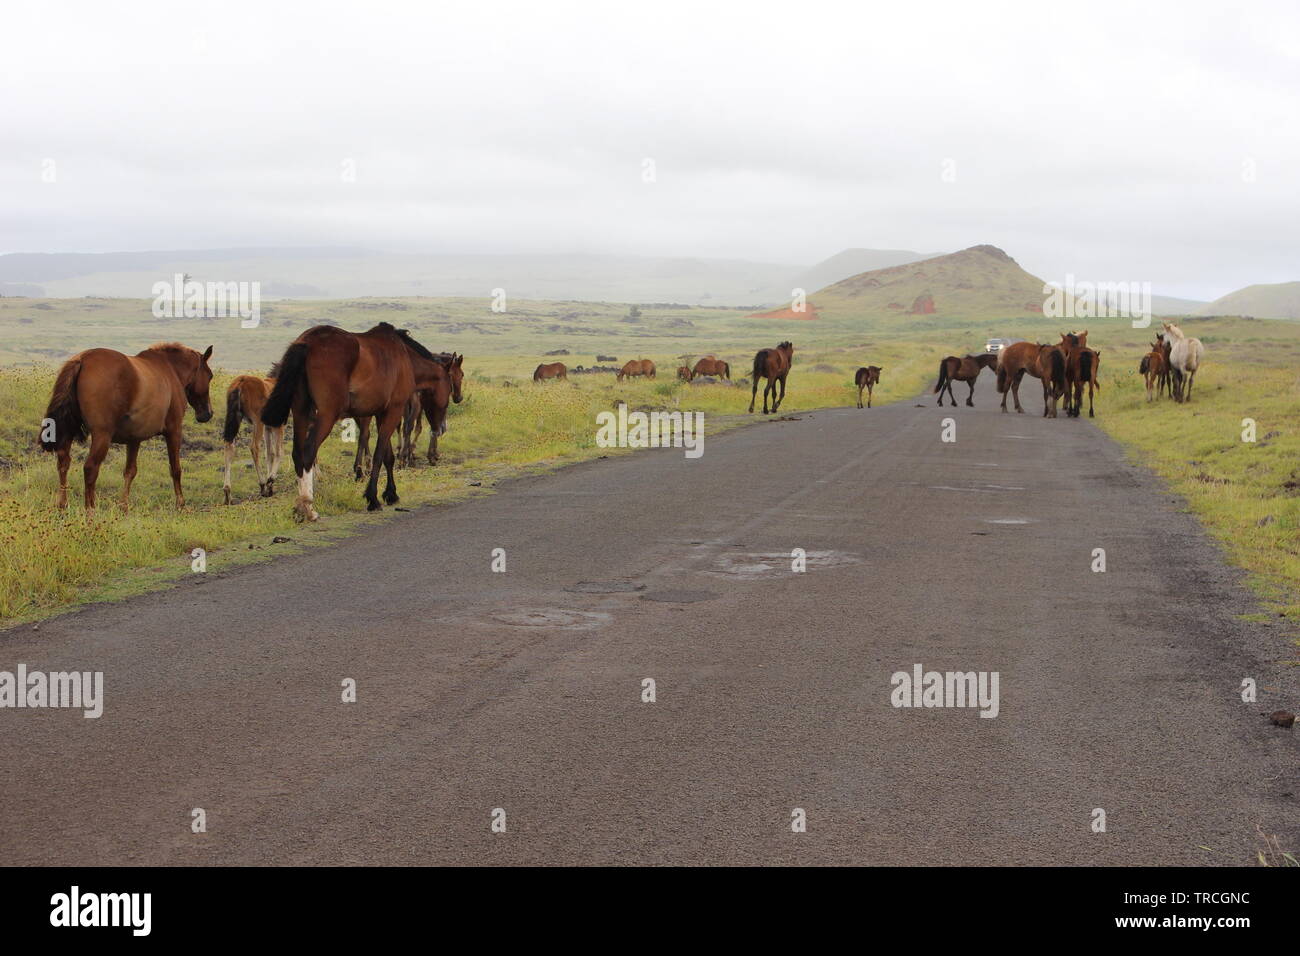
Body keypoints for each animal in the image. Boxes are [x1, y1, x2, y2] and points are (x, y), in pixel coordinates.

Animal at [220, 374, 284, 504]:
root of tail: (240, 382)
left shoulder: (268, 427)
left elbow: (270, 453)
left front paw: (271, 488)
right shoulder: (277, 424)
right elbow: (278, 452)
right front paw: (270, 481)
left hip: (235, 417)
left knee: (228, 445)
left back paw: (227, 493)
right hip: (257, 421)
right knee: (254, 447)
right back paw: (262, 484)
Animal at [261, 327, 449, 522]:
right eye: (449, 389)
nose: (440, 428)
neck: (405, 357)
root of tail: (307, 342)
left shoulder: (381, 413)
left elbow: (388, 456)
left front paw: (391, 494)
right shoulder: (394, 411)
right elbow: (379, 455)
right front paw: (373, 498)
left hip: (301, 412)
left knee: (298, 454)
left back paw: (300, 507)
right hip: (326, 415)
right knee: (308, 452)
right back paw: (308, 507)